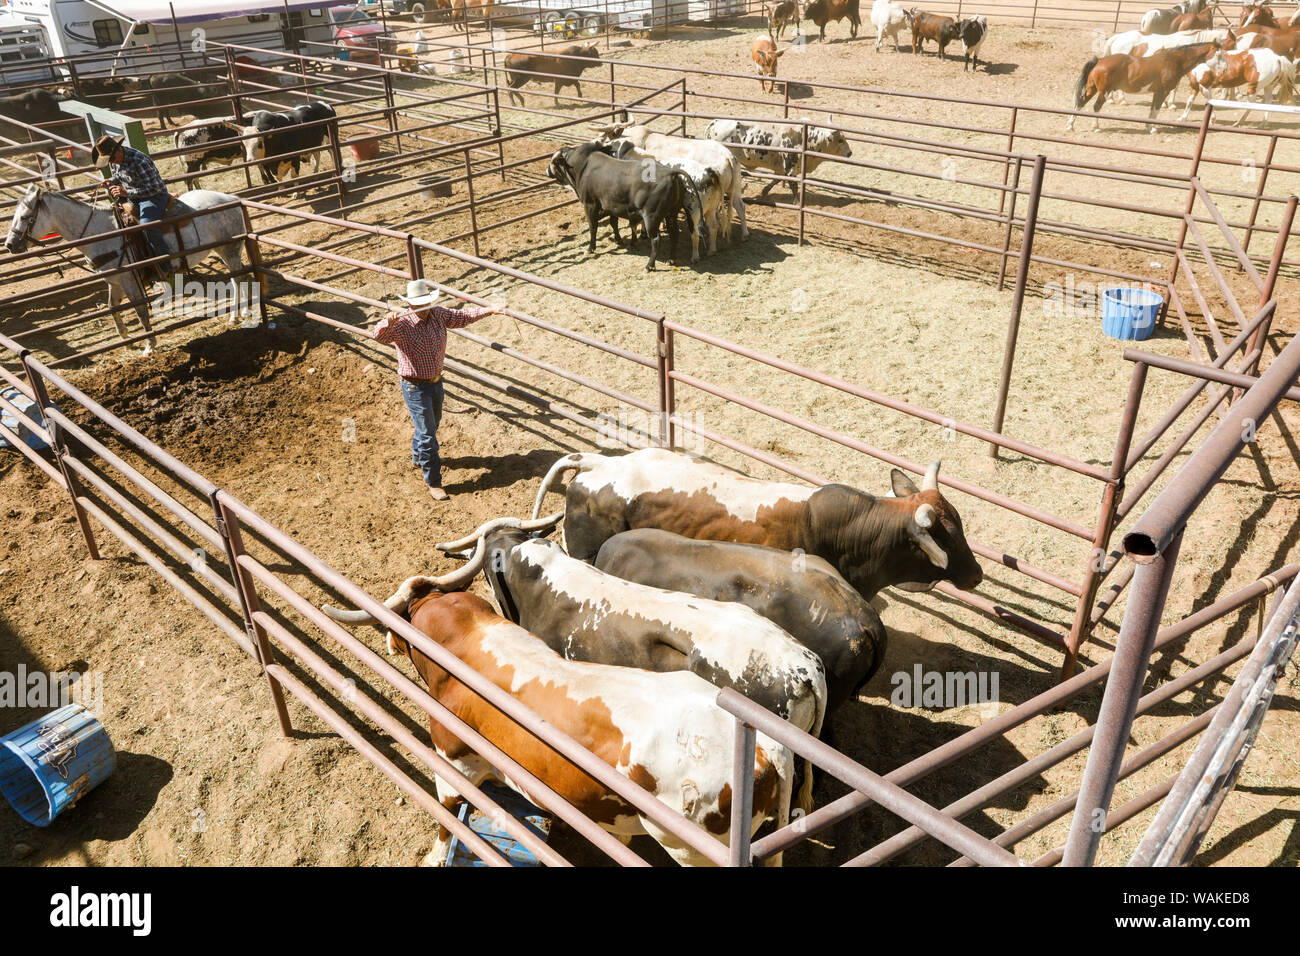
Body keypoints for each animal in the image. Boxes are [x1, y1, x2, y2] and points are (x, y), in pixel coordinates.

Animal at [3, 184, 250, 353]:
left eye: (25, 217)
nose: (9, 245)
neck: (100, 232)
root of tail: (232, 198)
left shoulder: (130, 280)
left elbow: (140, 310)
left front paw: (149, 344)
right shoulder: (115, 282)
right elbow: (112, 308)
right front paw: (125, 339)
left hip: (230, 249)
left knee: (238, 279)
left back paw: (237, 315)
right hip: (223, 250)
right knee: (240, 278)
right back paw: (240, 313)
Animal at [1066, 39, 1227, 130]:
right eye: (1219, 54)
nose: (1225, 69)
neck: (1173, 61)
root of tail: (1100, 61)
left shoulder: (1157, 92)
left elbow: (1152, 110)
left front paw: (1148, 125)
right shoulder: (1163, 91)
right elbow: (1156, 109)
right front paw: (1153, 128)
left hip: (1092, 89)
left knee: (1080, 103)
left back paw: (1070, 125)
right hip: (1103, 91)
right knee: (1096, 106)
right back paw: (1096, 126)